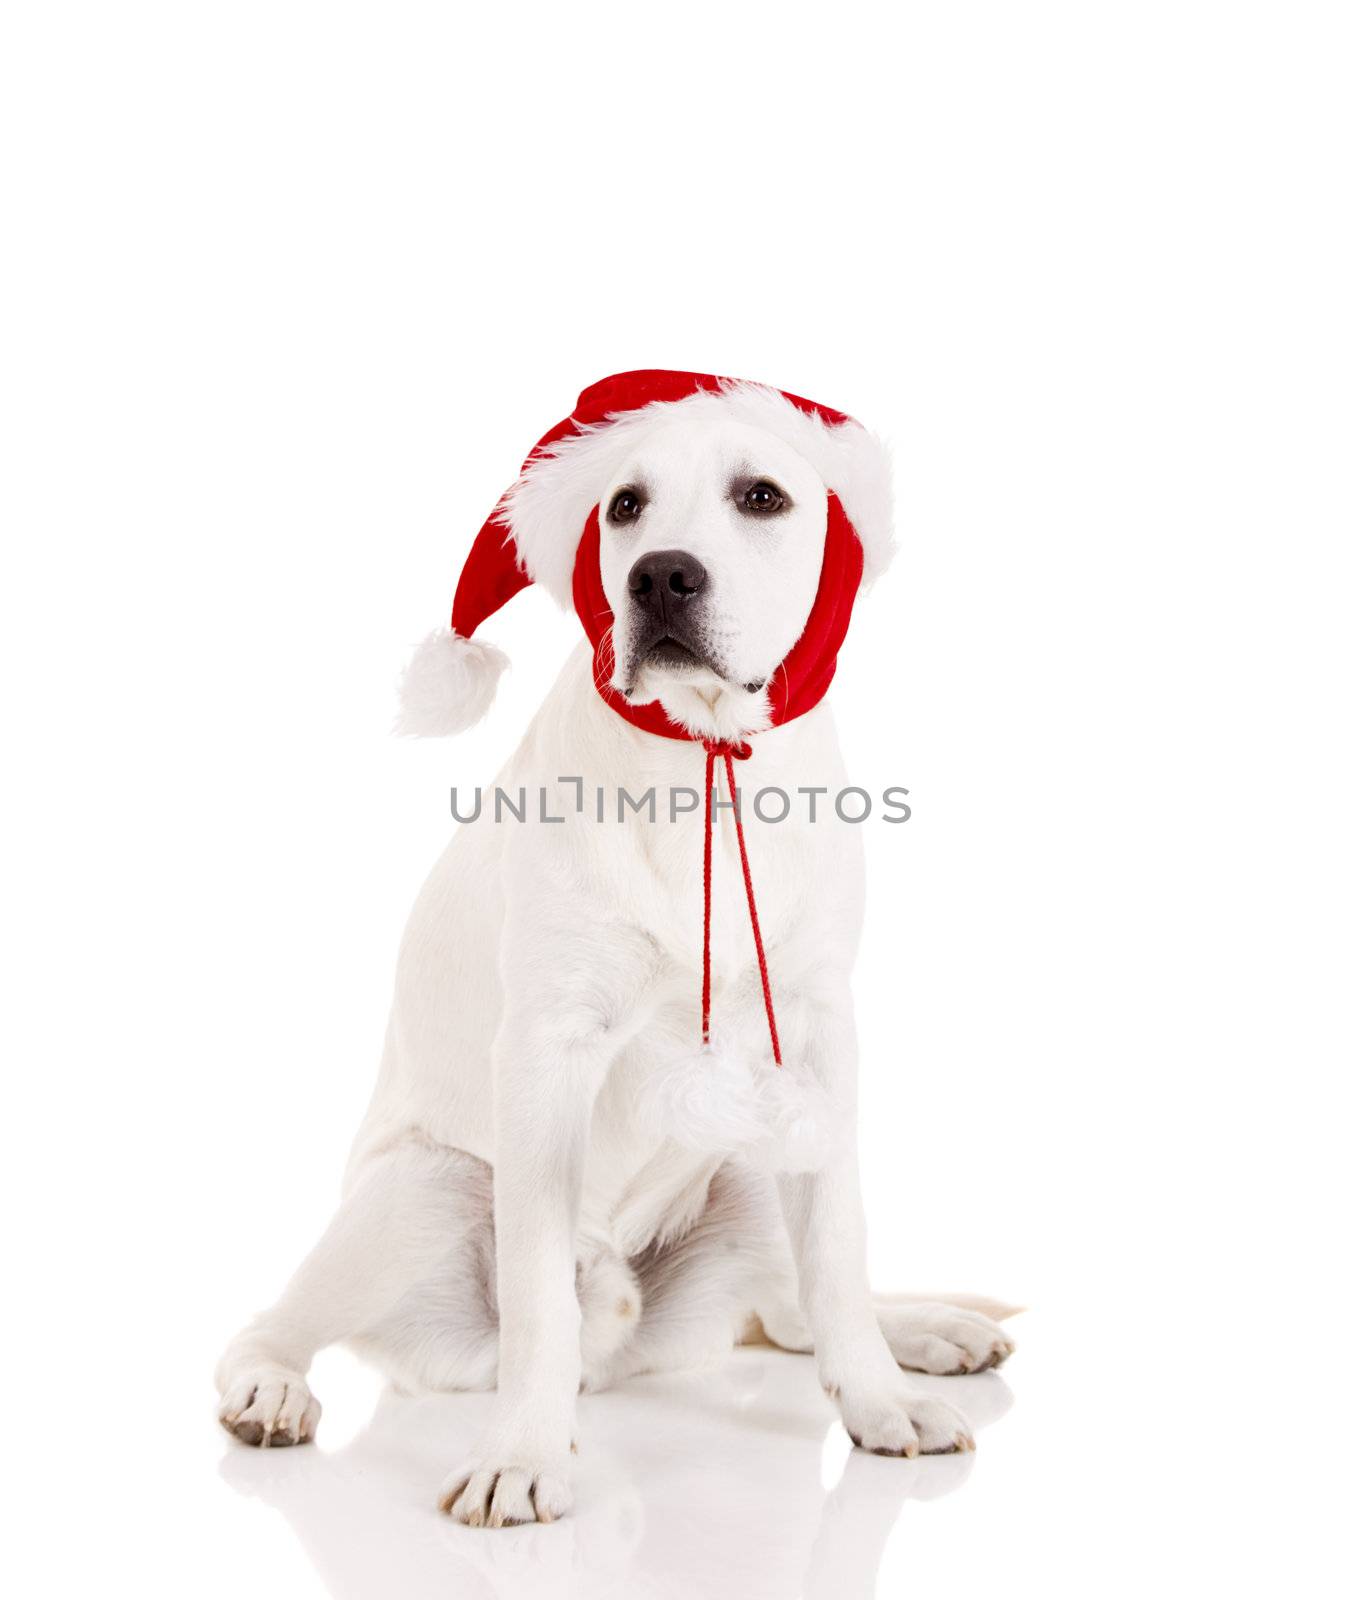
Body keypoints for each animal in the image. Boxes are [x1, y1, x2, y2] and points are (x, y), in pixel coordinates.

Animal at [214, 371, 1017, 1523]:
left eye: (763, 496)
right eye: (624, 506)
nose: (661, 575)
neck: (703, 757)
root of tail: (627, 1344)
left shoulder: (818, 1039)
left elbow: (836, 1249)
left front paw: (877, 1399)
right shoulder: (548, 1050)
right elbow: (539, 1292)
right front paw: (524, 1455)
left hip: (750, 1156)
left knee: (791, 1308)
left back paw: (926, 1329)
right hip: (424, 1189)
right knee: (272, 1324)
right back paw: (272, 1389)